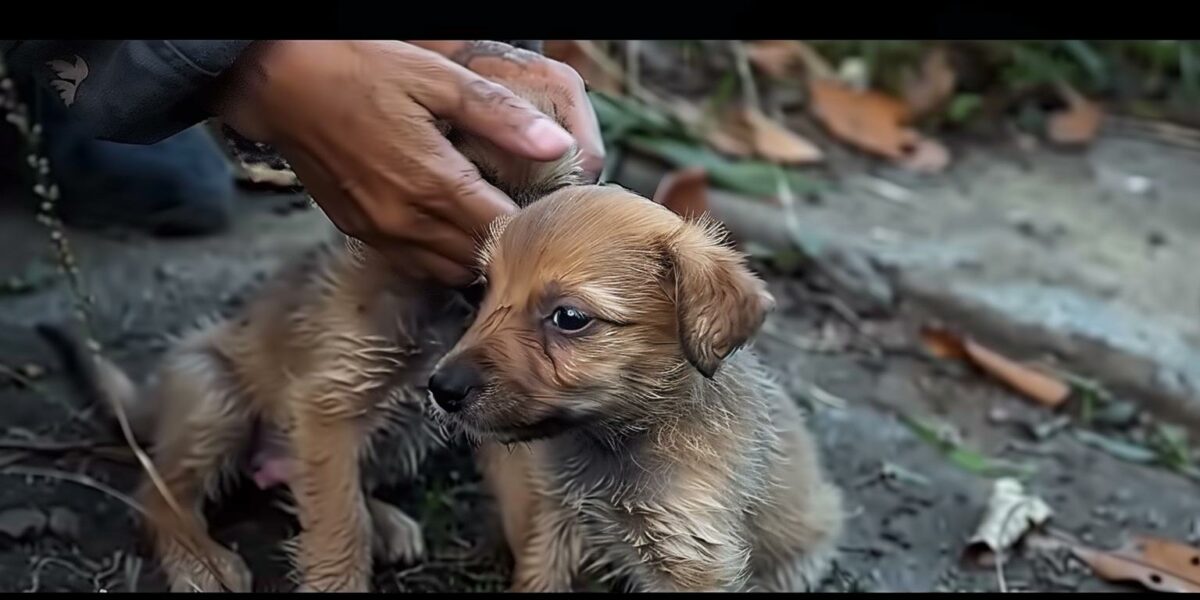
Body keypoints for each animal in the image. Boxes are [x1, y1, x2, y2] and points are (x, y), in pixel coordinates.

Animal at [432, 186, 844, 590]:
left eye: (570, 318)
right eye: (484, 289)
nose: (440, 388)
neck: (619, 441)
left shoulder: (692, 554)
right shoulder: (558, 518)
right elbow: (540, 577)